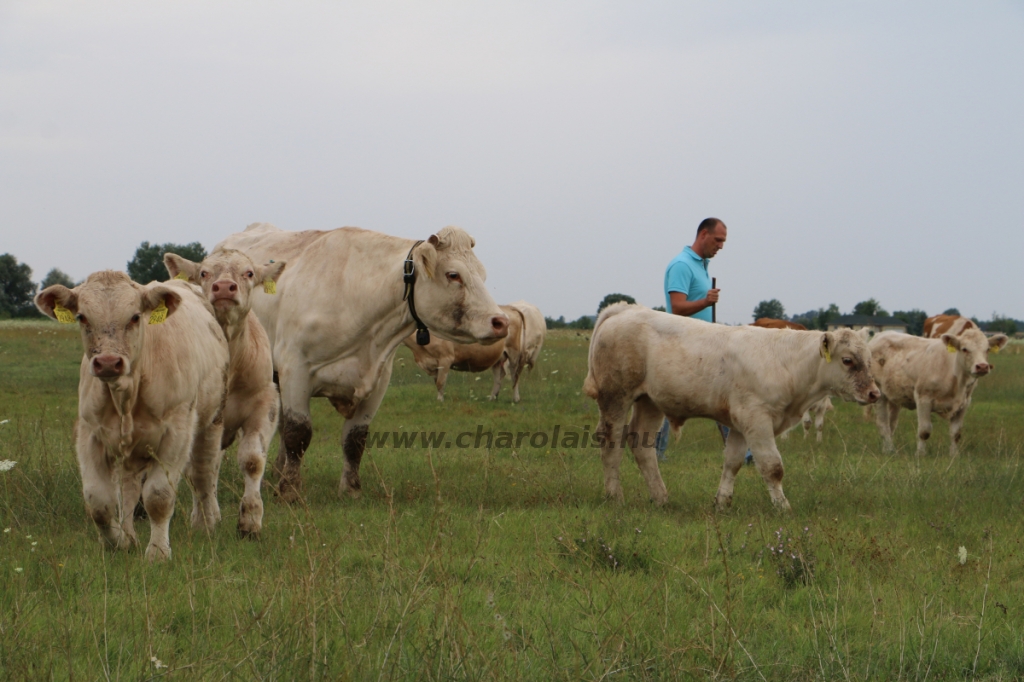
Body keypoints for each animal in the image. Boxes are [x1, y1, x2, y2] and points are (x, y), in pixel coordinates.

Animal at [34, 270, 228, 557]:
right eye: (81, 317)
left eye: (135, 316)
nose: (107, 363)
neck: (125, 395)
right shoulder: (90, 434)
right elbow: (99, 501)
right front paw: (116, 543)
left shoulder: (176, 434)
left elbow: (159, 497)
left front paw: (158, 553)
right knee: (128, 488)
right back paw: (129, 535)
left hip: (212, 421)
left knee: (204, 475)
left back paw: (206, 524)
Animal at [163, 246, 286, 532]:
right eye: (204, 273)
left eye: (249, 273)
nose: (224, 288)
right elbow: (198, 471)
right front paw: (203, 519)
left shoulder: (265, 402)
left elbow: (253, 460)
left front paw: (250, 519)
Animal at [216, 223, 507, 499]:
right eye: (453, 275)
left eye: (482, 275)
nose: (501, 322)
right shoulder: (296, 370)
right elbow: (298, 434)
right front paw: (290, 491)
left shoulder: (379, 380)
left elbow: (354, 439)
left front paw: (351, 489)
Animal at [585, 305, 880, 507]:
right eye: (847, 360)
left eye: (869, 358)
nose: (875, 393)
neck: (785, 362)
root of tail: (625, 308)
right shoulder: (757, 420)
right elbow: (773, 467)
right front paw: (783, 507)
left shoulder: (740, 425)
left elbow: (733, 463)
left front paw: (722, 502)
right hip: (616, 397)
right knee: (611, 442)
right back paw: (615, 496)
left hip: (650, 402)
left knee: (642, 445)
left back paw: (661, 498)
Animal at [864, 327, 1007, 454]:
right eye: (965, 349)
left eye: (987, 349)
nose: (982, 366)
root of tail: (880, 335)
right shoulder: (923, 399)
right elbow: (924, 431)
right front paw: (920, 454)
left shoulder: (964, 403)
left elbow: (956, 433)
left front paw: (954, 455)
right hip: (879, 394)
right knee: (883, 424)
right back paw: (889, 450)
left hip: (894, 396)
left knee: (891, 425)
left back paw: (888, 449)